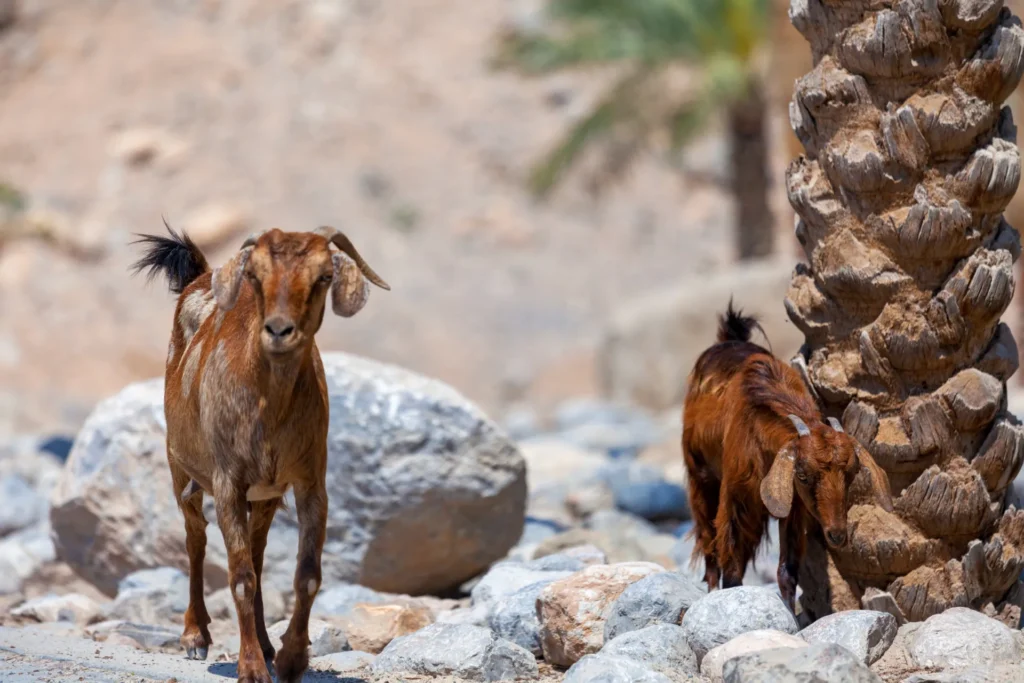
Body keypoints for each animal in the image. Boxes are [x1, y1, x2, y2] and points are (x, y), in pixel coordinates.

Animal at [132, 224, 389, 683]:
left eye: (324, 276)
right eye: (254, 274)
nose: (279, 331)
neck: (269, 411)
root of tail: (199, 276)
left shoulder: (309, 482)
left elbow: (306, 575)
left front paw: (290, 659)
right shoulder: (228, 483)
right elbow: (240, 577)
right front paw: (251, 667)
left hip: (265, 497)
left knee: (256, 550)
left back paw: (267, 644)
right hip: (182, 469)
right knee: (195, 540)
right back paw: (195, 635)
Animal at [681, 302, 892, 612]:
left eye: (851, 474)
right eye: (802, 475)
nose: (837, 534)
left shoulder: (792, 508)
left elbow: (787, 571)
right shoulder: (734, 495)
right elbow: (729, 565)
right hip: (699, 476)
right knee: (708, 541)